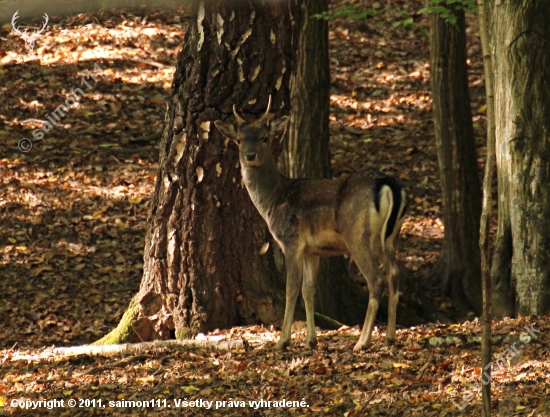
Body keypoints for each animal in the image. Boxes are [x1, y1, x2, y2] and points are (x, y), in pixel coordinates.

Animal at [216, 98, 410, 352]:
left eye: (265, 138)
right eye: (239, 139)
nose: (250, 155)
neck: (274, 199)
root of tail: (389, 186)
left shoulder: (291, 241)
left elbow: (291, 289)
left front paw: (282, 341)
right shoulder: (313, 250)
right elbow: (309, 290)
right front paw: (311, 340)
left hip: (357, 235)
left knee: (376, 280)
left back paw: (362, 342)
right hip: (391, 236)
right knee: (394, 276)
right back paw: (390, 337)